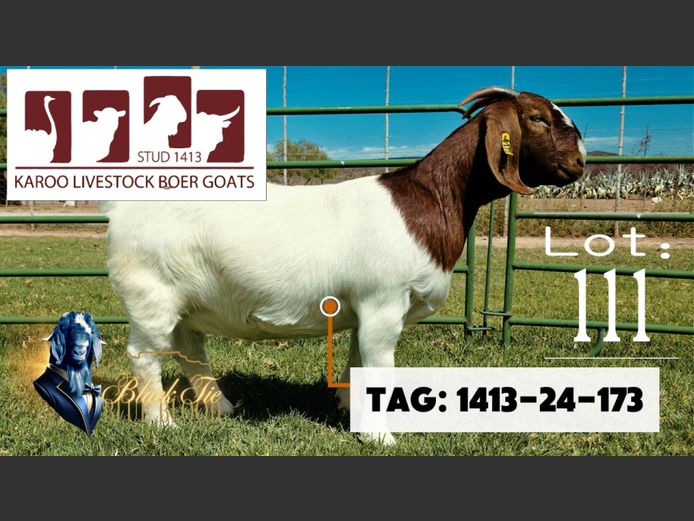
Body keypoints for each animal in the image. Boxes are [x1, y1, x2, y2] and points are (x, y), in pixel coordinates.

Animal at [103, 87, 586, 444]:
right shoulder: (384, 303)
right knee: (145, 355)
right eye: (538, 118)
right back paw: (163, 423)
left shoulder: (364, 310)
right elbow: (379, 367)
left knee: (189, 346)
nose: (580, 161)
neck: (427, 203)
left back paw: (221, 406)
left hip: (186, 299)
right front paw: (381, 438)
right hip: (150, 294)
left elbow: (357, 363)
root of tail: (122, 208)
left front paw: (352, 412)